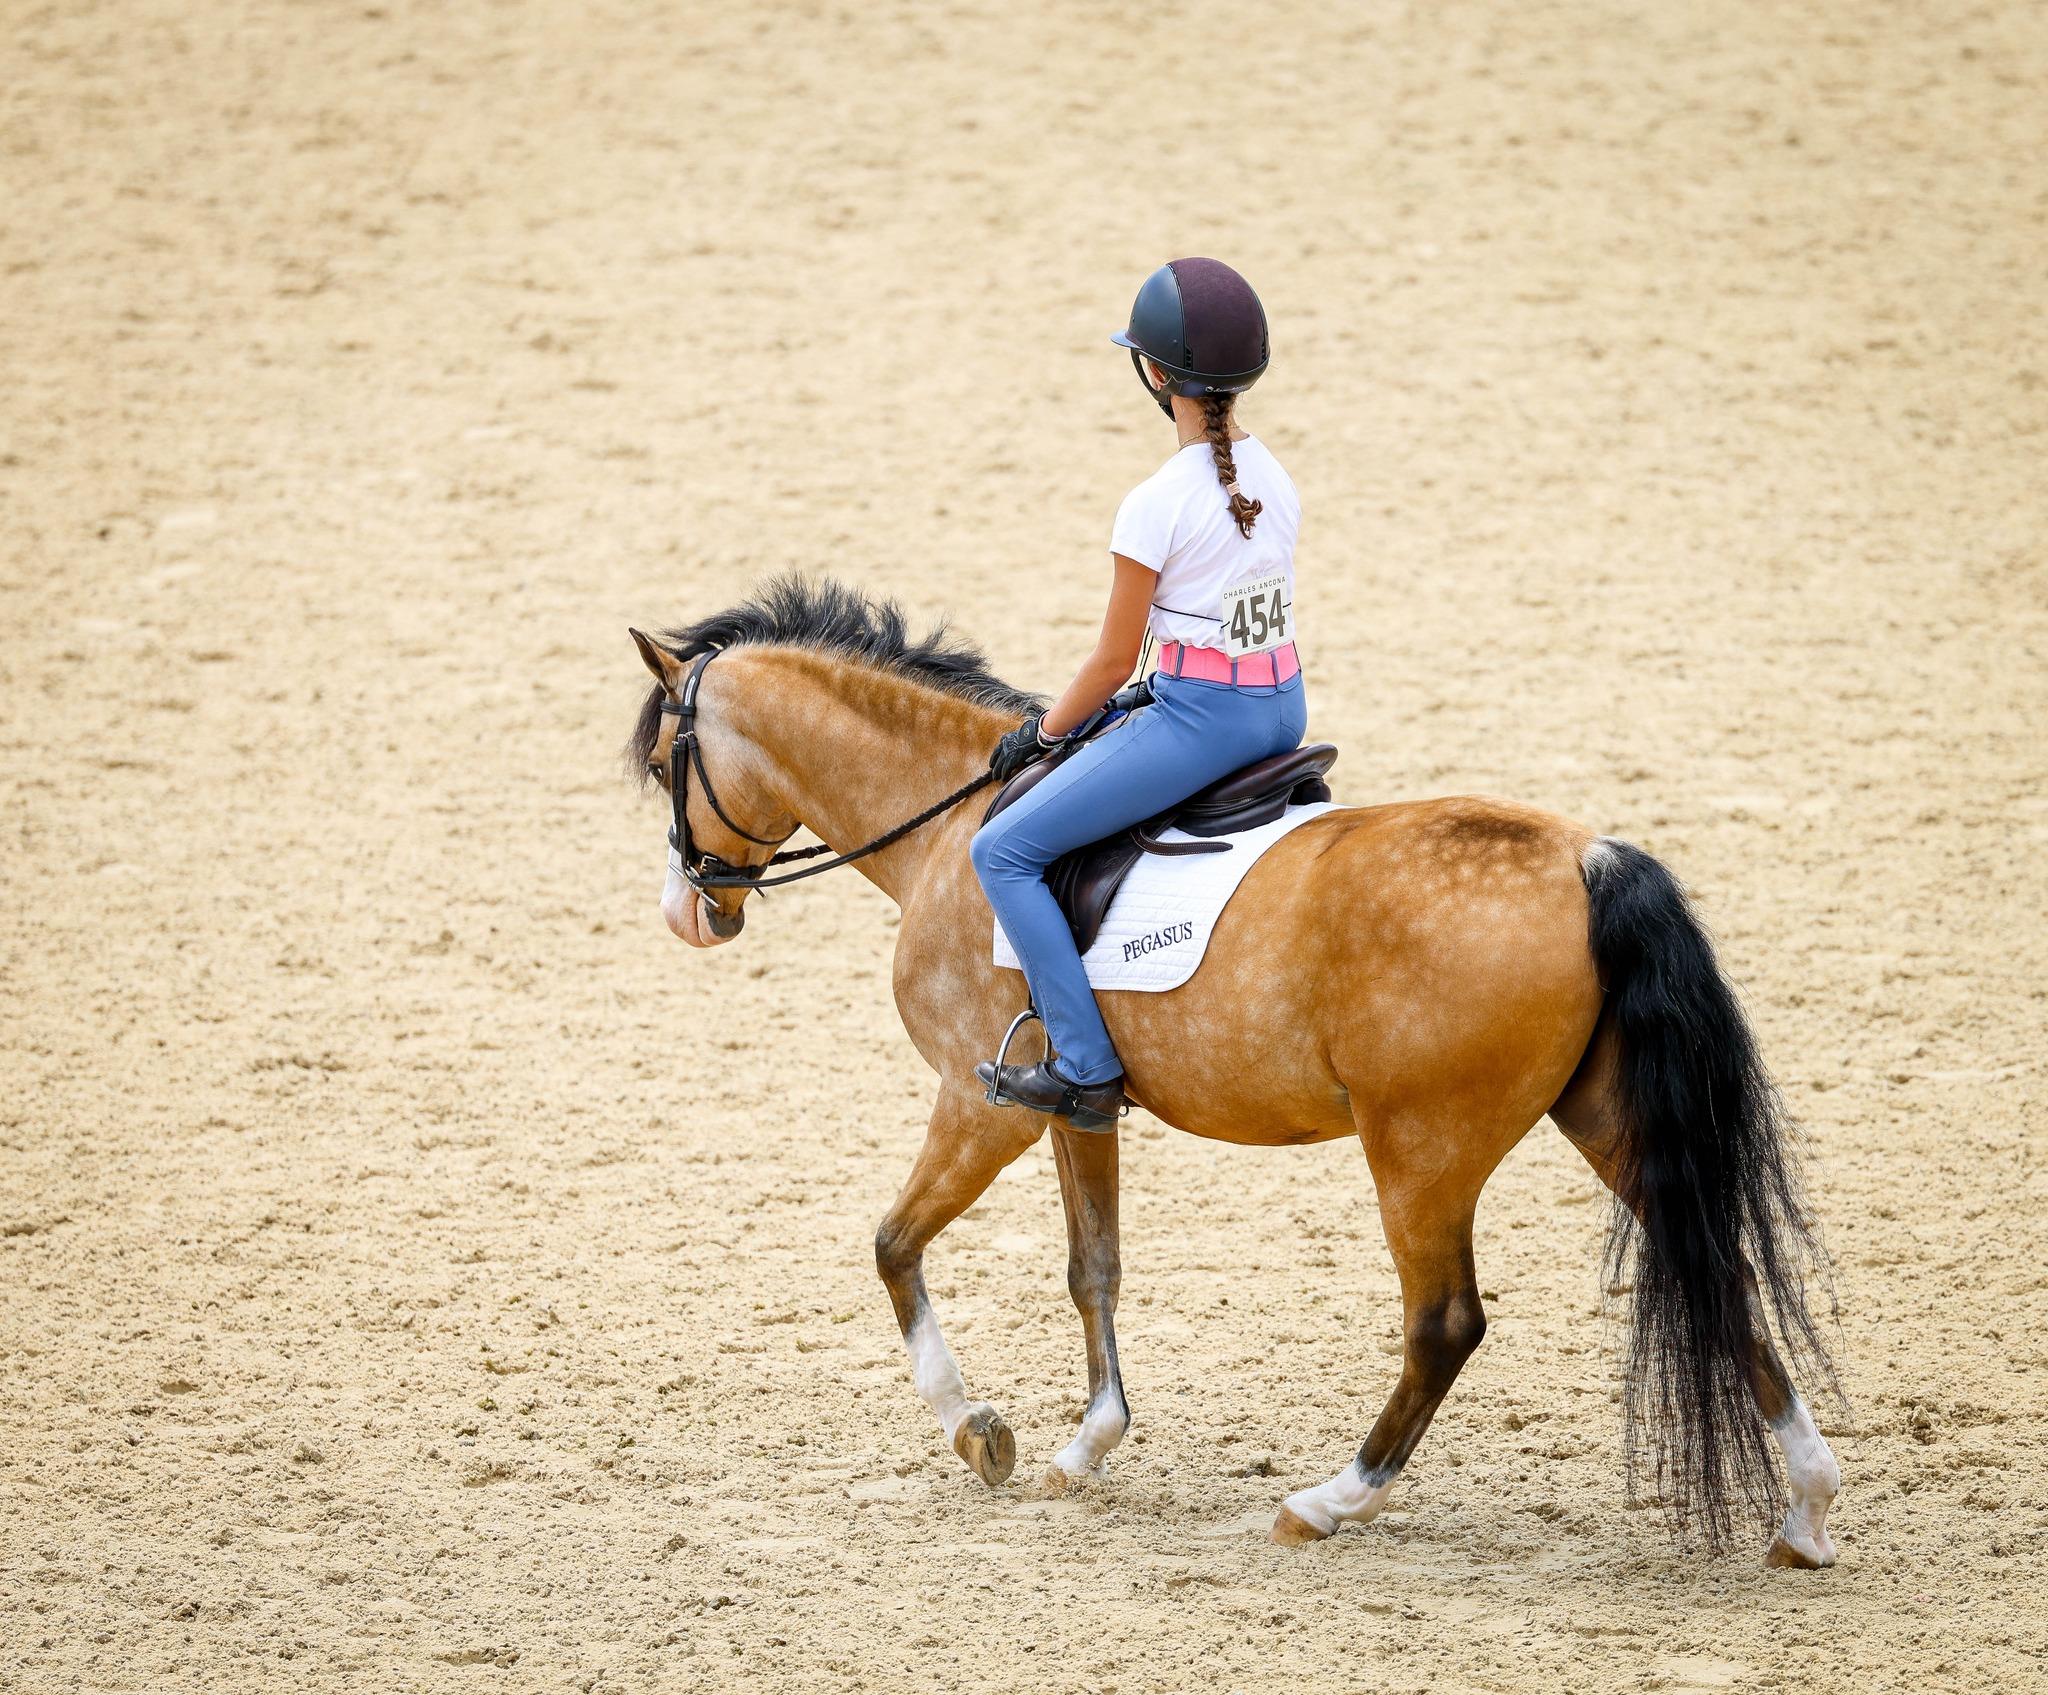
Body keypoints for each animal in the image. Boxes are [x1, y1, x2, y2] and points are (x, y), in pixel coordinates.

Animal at [623, 575, 1841, 1565]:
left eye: (664, 763)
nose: (690, 913)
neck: (953, 820)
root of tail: (1589, 858)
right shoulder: (1074, 1109)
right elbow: (1093, 1268)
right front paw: (1087, 1446)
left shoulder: (981, 1105)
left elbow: (891, 1246)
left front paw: (978, 1431)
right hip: (1600, 1118)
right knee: (1715, 1267)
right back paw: (1807, 1510)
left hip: (1422, 1151)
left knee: (1444, 1324)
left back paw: (1327, 1501)